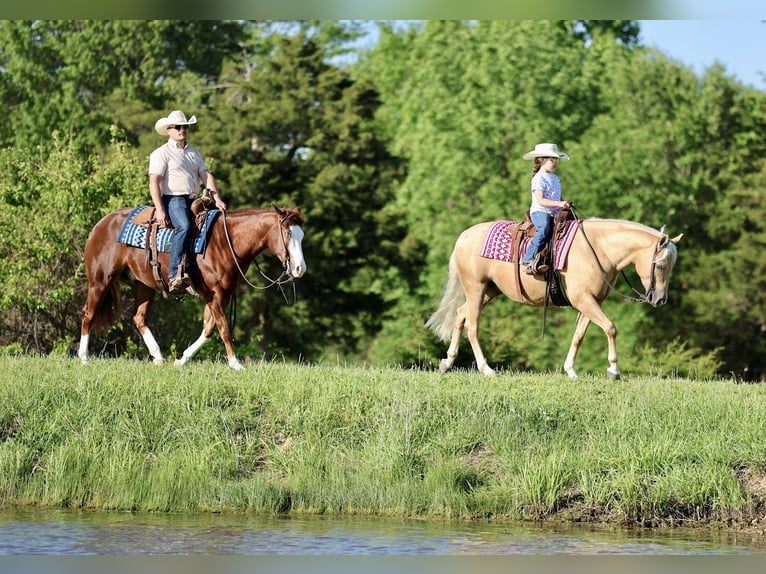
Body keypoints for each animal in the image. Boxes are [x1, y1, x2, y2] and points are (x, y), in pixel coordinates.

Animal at [77, 205, 306, 371]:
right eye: (287, 234)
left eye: (301, 236)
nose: (300, 268)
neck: (225, 243)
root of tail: (101, 224)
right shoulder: (214, 295)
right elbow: (224, 327)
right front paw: (236, 364)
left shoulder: (221, 295)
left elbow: (209, 328)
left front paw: (182, 359)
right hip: (100, 281)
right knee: (88, 313)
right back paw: (84, 358)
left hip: (143, 286)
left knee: (139, 318)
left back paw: (158, 356)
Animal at [426, 218, 682, 380]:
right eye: (660, 265)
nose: (660, 300)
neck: (598, 250)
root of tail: (464, 236)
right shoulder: (584, 300)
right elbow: (610, 328)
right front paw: (614, 370)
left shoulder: (591, 302)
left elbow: (579, 335)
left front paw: (570, 370)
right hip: (476, 288)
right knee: (472, 325)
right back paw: (486, 369)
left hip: (487, 290)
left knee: (460, 315)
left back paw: (447, 363)